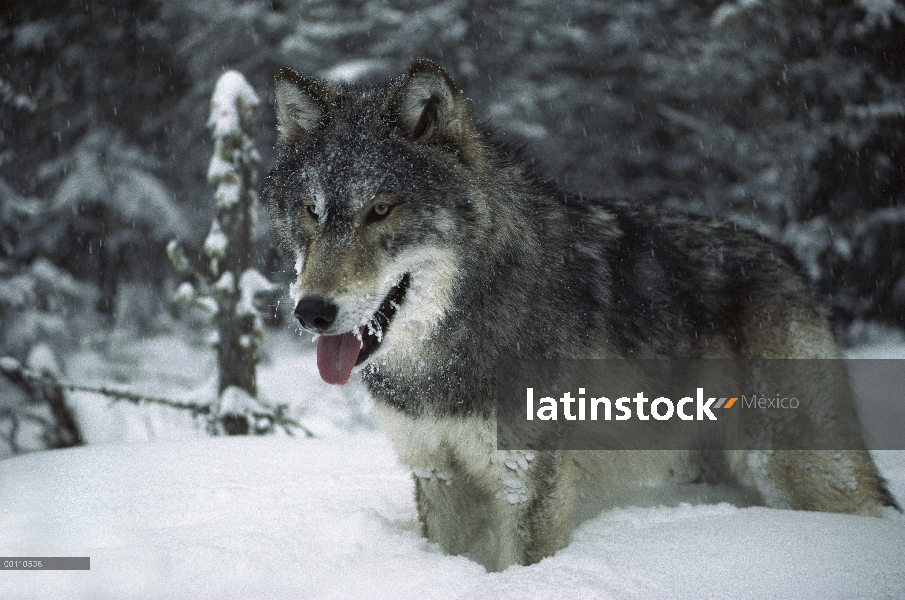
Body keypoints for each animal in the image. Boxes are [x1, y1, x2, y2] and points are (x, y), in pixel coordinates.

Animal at [264, 59, 896, 572]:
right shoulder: (438, 474)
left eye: (381, 210)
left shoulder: (527, 483)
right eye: (311, 211)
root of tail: (790, 265)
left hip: (794, 466)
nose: (311, 310)